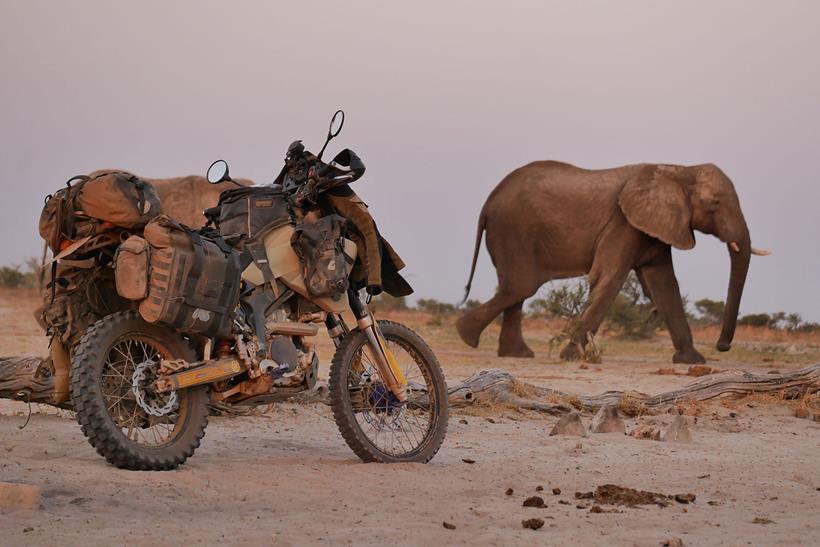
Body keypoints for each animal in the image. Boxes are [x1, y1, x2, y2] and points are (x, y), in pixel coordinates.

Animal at [454, 161, 768, 366]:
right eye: (715, 203)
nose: (722, 345)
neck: (678, 169)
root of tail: (487, 203)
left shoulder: (654, 227)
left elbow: (665, 284)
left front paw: (692, 361)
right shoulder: (623, 223)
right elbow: (609, 278)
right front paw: (571, 357)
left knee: (516, 289)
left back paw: (514, 353)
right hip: (513, 230)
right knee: (521, 286)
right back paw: (466, 336)